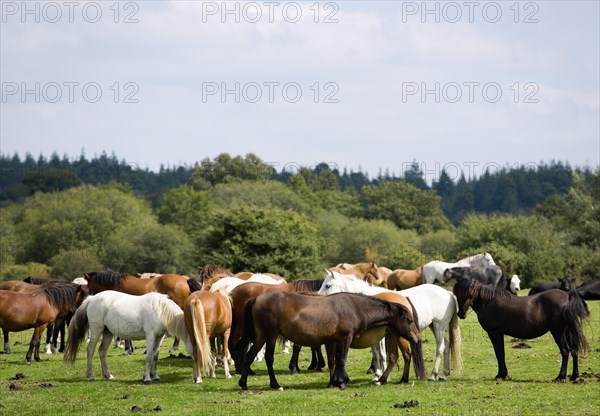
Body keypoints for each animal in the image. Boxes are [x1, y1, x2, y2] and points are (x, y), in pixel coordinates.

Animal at [63, 290, 191, 384]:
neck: (160, 309)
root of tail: (91, 299)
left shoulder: (159, 337)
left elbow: (155, 356)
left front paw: (155, 376)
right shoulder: (150, 335)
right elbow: (149, 355)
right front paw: (147, 378)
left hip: (108, 333)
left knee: (102, 351)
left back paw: (108, 375)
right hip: (96, 331)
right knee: (90, 350)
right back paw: (90, 376)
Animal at [234, 290, 418, 392]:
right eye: (409, 320)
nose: (416, 337)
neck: (355, 307)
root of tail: (256, 299)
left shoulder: (332, 341)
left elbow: (332, 361)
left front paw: (333, 382)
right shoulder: (345, 338)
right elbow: (341, 360)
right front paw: (342, 383)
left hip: (260, 337)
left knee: (249, 356)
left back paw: (244, 384)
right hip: (270, 336)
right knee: (269, 358)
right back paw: (275, 384)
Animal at [322, 272, 462, 382]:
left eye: (328, 285)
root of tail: (448, 293)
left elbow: (382, 354)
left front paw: (384, 376)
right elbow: (376, 354)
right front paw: (377, 375)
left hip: (439, 326)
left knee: (441, 347)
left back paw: (434, 374)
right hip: (434, 326)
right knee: (447, 344)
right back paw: (443, 374)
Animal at [452, 274, 588, 382]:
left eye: (458, 293)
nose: (460, 314)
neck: (488, 302)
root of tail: (568, 296)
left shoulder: (494, 333)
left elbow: (499, 353)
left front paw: (501, 375)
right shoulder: (499, 333)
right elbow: (501, 353)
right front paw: (504, 375)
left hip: (558, 333)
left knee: (565, 351)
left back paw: (560, 377)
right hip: (568, 332)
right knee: (574, 350)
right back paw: (574, 376)